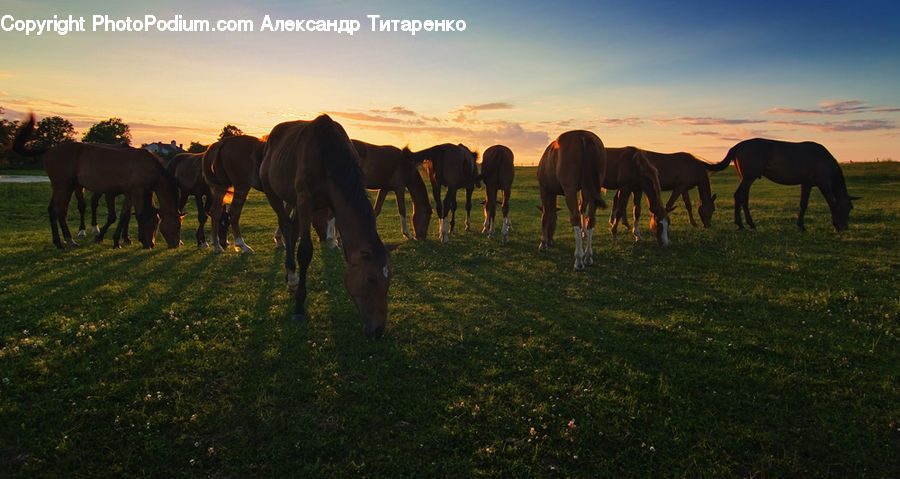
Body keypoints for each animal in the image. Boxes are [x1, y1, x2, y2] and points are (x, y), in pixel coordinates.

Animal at [13, 114, 182, 249]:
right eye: (175, 225)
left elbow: (124, 215)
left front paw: (117, 240)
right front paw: (139, 241)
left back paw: (65, 240)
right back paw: (65, 240)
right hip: (62, 186)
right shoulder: (129, 192)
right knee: (58, 210)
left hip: (67, 187)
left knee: (59, 210)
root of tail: (50, 149)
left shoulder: (129, 193)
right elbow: (134, 215)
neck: (147, 166)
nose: (175, 244)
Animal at [259, 115, 395, 338]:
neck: (328, 155)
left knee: (293, 229)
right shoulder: (305, 200)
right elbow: (305, 251)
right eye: (371, 278)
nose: (378, 330)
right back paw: (291, 275)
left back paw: (291, 275)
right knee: (286, 226)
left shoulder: (333, 202)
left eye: (389, 279)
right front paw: (299, 307)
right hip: (273, 192)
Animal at [537, 130, 606, 271]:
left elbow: (545, 215)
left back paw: (579, 259)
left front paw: (543, 243)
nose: (550, 240)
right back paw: (588, 257)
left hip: (570, 191)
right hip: (592, 190)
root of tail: (583, 135)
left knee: (575, 217)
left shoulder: (545, 189)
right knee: (591, 219)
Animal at [710, 138, 859, 231]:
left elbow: (803, 204)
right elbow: (832, 203)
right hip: (749, 178)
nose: (845, 227)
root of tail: (738, 146)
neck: (824, 159)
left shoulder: (806, 184)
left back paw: (748, 224)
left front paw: (801, 225)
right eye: (849, 207)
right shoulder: (824, 184)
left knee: (743, 198)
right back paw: (741, 224)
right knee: (739, 195)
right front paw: (836, 225)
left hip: (745, 178)